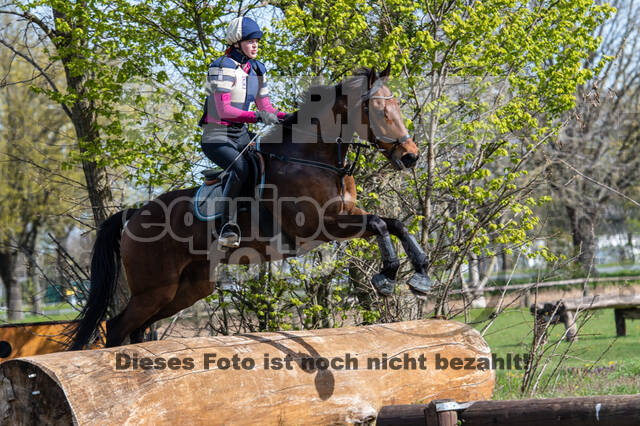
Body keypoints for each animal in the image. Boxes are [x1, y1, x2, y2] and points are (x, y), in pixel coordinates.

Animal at [70, 64, 432, 350]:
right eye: (378, 110)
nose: (410, 156)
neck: (315, 158)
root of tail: (134, 215)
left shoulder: (346, 216)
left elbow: (394, 223)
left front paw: (420, 276)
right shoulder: (321, 224)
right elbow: (381, 224)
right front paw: (387, 277)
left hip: (187, 288)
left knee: (138, 328)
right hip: (155, 288)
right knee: (117, 327)